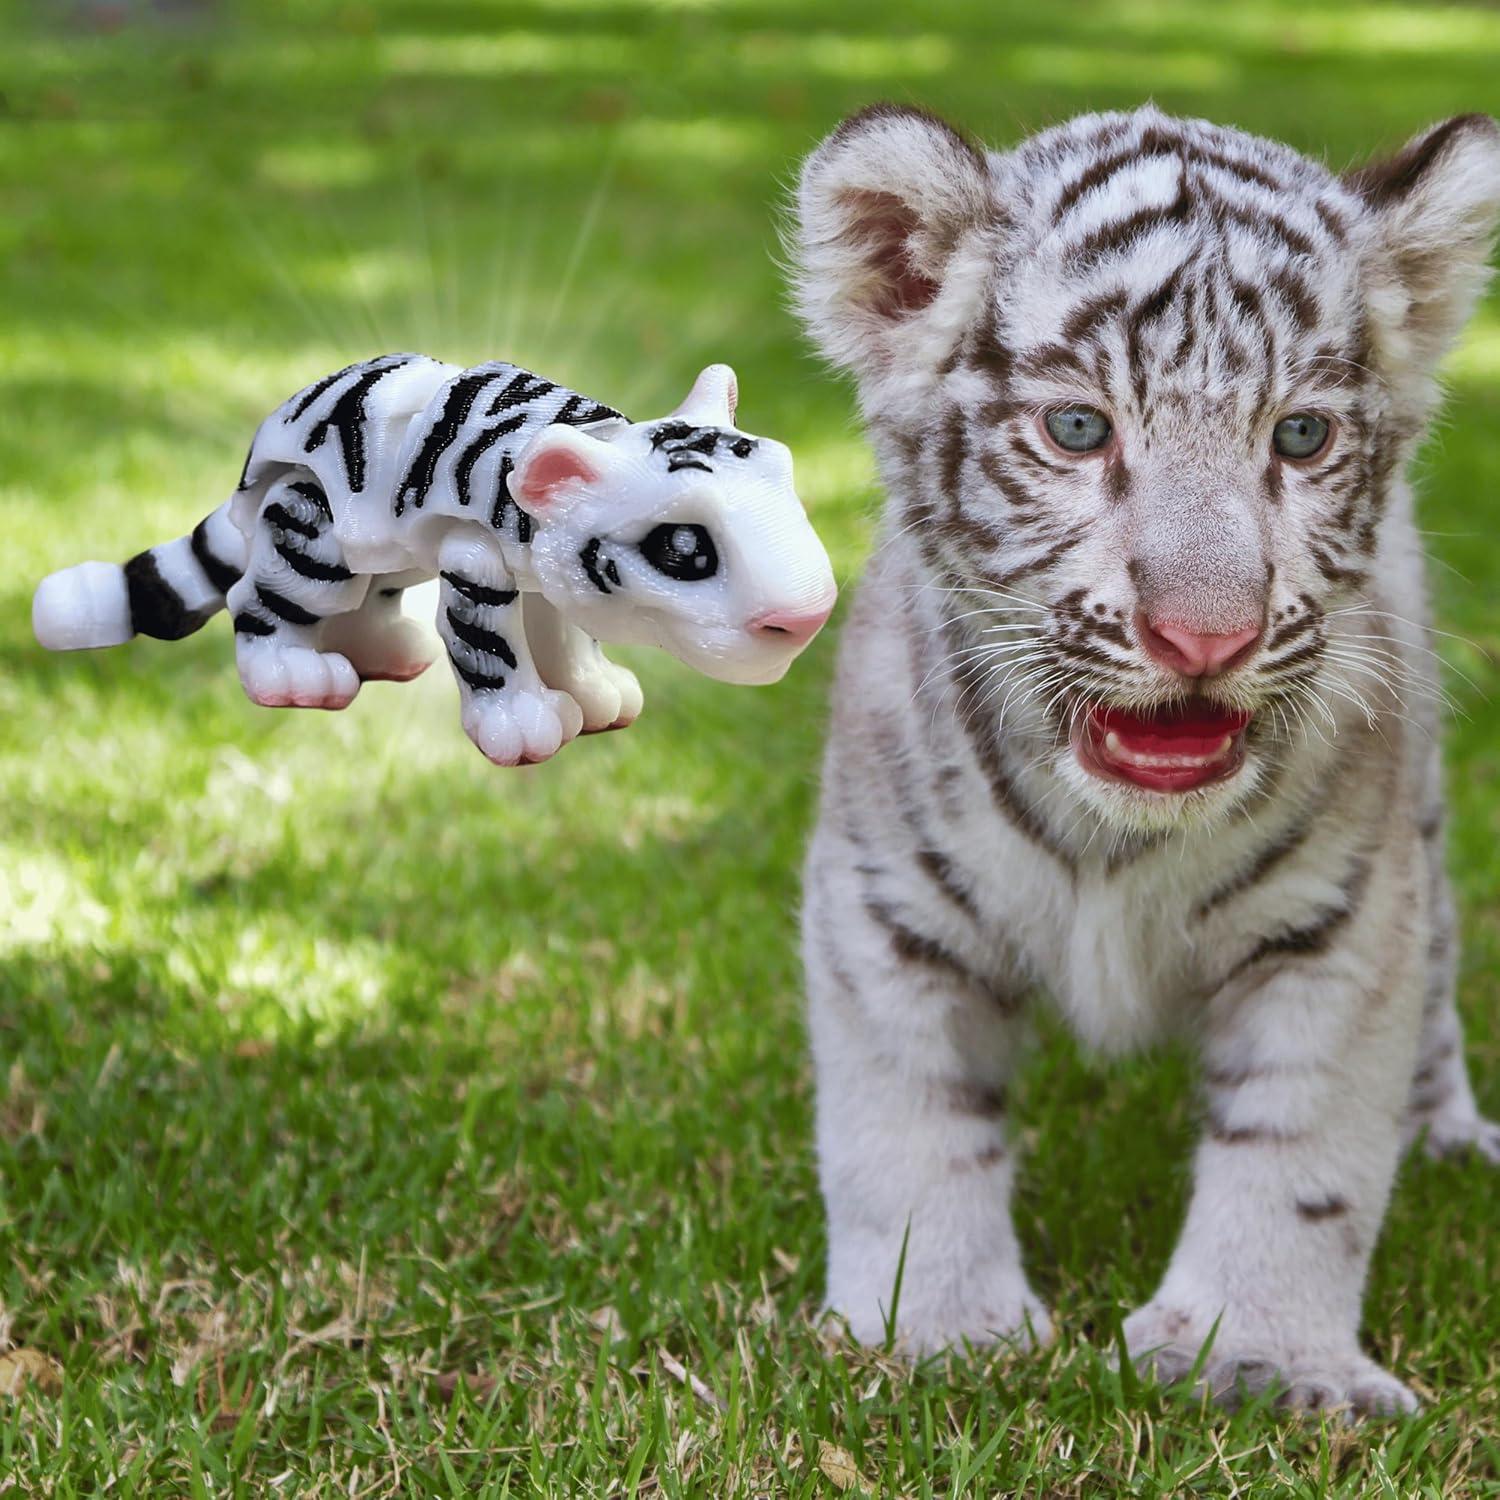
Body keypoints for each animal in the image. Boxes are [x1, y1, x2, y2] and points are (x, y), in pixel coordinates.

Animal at [791, 103, 1500, 1414]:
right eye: (1079, 429)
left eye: (1300, 437)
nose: (1206, 637)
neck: (1115, 839)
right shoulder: (887, 907)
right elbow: (904, 1131)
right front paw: (934, 1329)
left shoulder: (1343, 925)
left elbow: (1301, 1151)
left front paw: (1265, 1359)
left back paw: (1448, 1139)